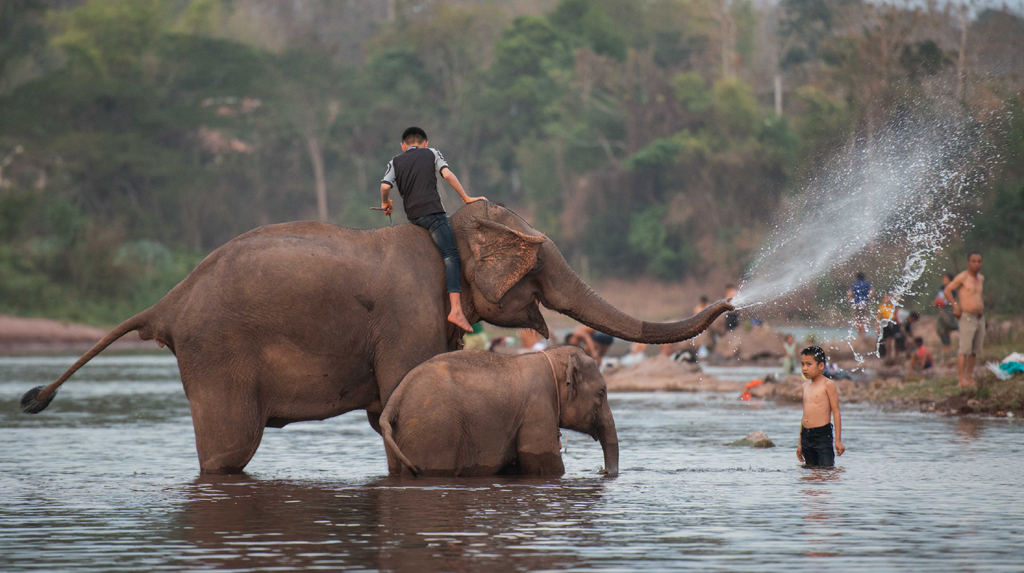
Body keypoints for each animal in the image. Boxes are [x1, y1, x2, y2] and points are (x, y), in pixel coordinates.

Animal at [382, 347, 614, 476]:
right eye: (601, 393)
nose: (602, 471)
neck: (549, 358)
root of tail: (395, 398)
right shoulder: (537, 407)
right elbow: (541, 461)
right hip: (433, 432)